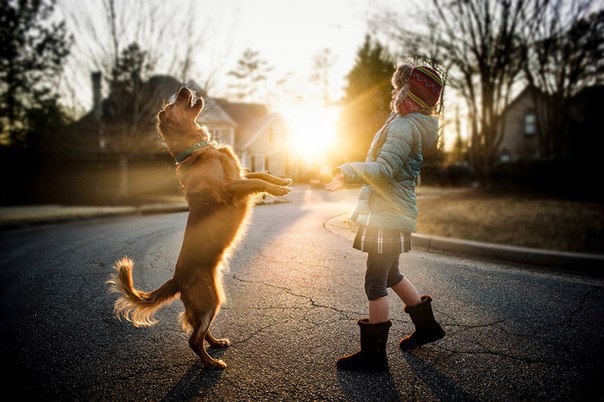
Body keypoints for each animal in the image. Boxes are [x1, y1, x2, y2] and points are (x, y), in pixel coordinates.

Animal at [108, 86, 292, 370]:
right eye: (172, 104)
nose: (184, 88)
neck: (198, 151)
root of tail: (177, 279)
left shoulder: (240, 175)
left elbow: (262, 175)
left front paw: (281, 181)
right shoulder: (230, 187)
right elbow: (259, 182)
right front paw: (278, 190)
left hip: (212, 300)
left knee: (201, 332)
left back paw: (216, 344)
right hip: (208, 300)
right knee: (193, 339)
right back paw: (211, 363)